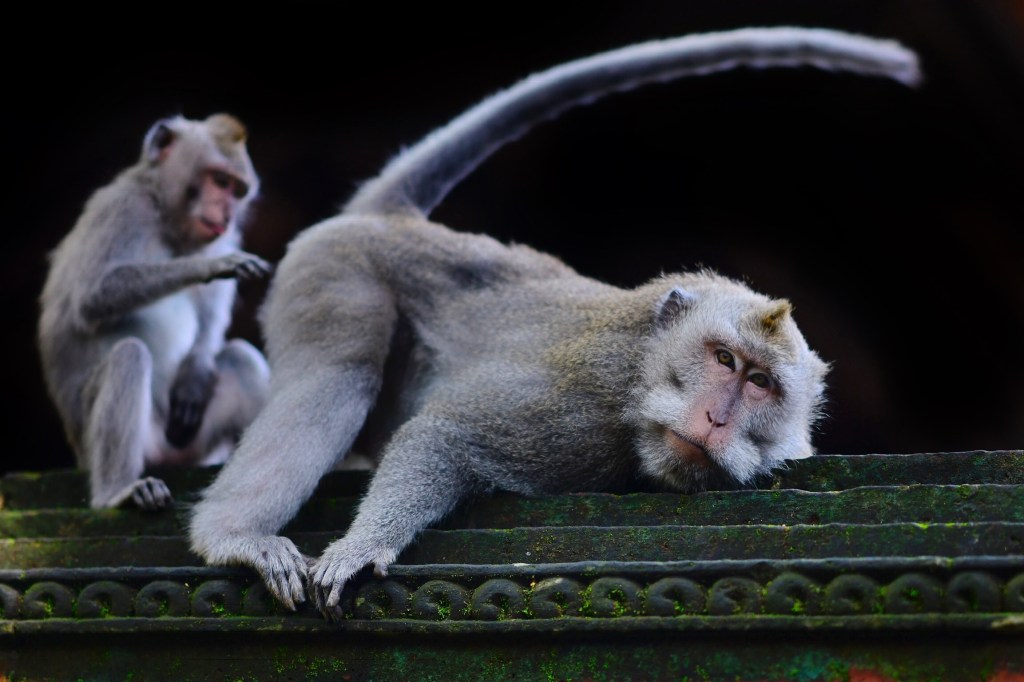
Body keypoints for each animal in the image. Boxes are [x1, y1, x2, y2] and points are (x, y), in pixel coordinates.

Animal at [38, 114, 272, 507]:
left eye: (237, 191)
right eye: (220, 181)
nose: (227, 213)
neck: (167, 221)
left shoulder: (221, 236)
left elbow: (210, 320)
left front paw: (194, 376)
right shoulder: (123, 210)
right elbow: (93, 296)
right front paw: (209, 266)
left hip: (190, 440)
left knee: (241, 358)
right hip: (107, 443)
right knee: (129, 356)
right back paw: (118, 491)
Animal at [190, 26, 921, 614]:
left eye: (761, 383)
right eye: (723, 360)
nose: (716, 418)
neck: (639, 371)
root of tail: (394, 219)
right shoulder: (574, 411)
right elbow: (442, 437)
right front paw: (366, 546)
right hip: (334, 271)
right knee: (338, 378)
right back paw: (235, 538)